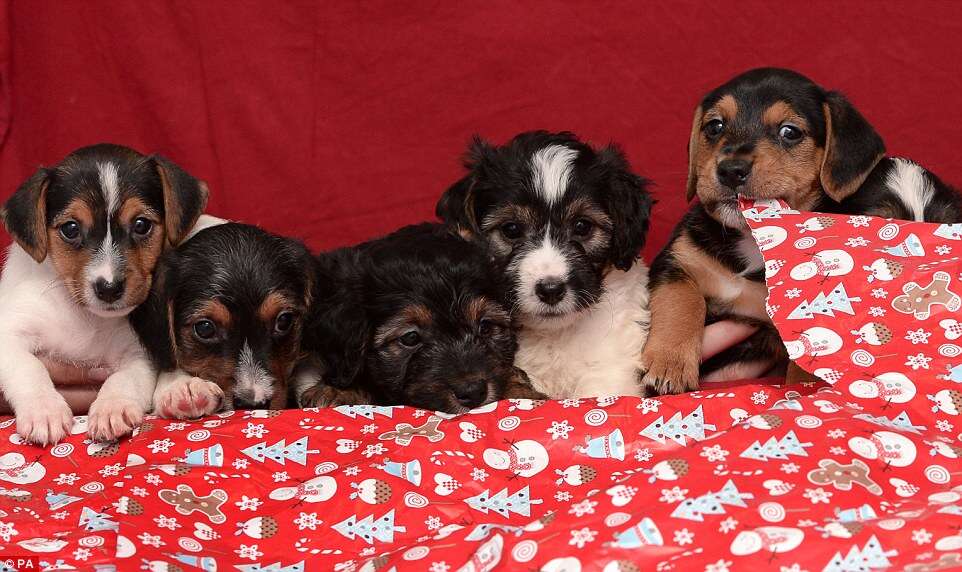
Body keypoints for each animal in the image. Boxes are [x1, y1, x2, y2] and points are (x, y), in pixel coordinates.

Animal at [0, 143, 209, 442]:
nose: (109, 288)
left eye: (141, 225)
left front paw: (113, 407)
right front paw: (44, 410)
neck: (86, 318)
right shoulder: (8, 333)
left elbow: (123, 379)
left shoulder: (139, 352)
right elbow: (29, 367)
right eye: (70, 228)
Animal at [640, 67, 956, 394]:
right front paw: (669, 364)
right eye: (715, 126)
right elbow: (681, 300)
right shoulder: (678, 261)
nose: (730, 170)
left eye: (789, 132)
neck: (753, 241)